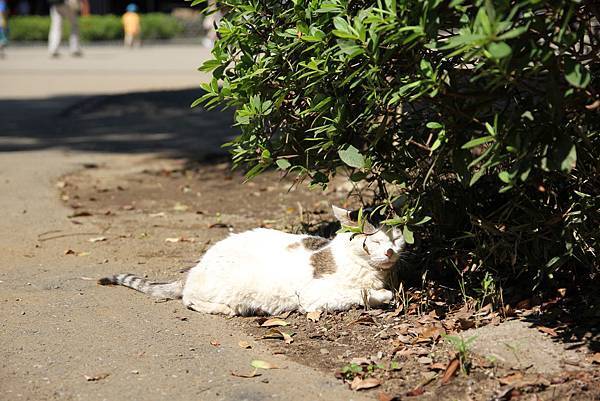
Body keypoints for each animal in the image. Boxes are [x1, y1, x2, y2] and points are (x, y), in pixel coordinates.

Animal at [98, 206, 406, 316]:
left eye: (398, 239)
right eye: (373, 242)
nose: (390, 252)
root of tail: (198, 265)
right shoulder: (314, 296)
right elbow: (360, 293)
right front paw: (382, 295)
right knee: (190, 298)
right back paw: (227, 309)